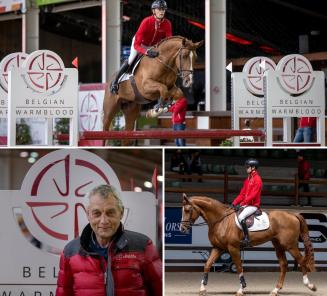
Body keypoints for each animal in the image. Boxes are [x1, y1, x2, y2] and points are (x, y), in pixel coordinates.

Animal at [181, 194, 316, 296]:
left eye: (187, 210)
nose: (182, 228)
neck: (221, 220)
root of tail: (292, 214)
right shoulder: (218, 248)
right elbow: (207, 265)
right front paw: (202, 289)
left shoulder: (233, 248)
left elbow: (239, 267)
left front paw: (241, 289)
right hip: (278, 245)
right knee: (284, 265)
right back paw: (275, 290)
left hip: (290, 245)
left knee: (302, 260)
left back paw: (310, 285)